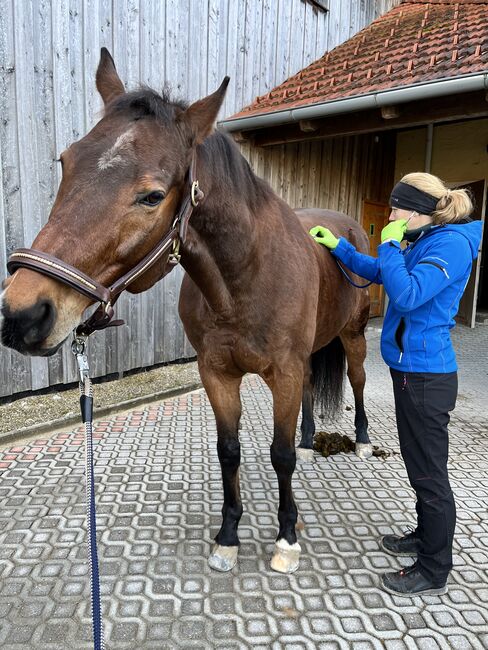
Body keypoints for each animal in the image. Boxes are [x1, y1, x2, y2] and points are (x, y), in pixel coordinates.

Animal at [1, 48, 372, 568]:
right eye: (65, 162)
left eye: (153, 195)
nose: (23, 313)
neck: (244, 281)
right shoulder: (217, 372)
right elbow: (229, 450)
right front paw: (229, 535)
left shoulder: (283, 371)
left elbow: (278, 456)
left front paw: (286, 537)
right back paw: (307, 439)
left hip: (353, 337)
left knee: (357, 382)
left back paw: (362, 441)